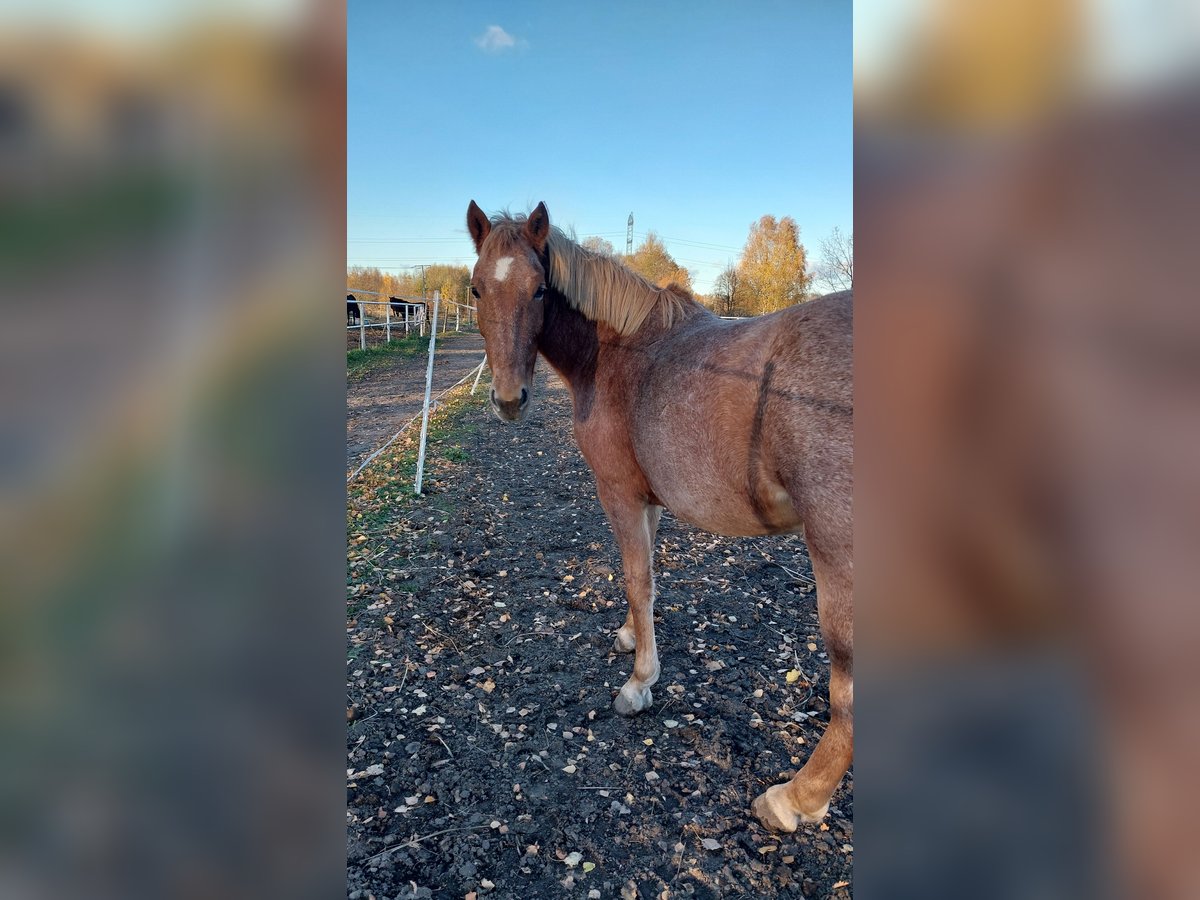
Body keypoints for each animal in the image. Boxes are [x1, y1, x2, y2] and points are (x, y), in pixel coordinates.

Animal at [463, 200, 849, 835]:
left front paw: (640, 683)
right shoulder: (648, 501)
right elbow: (645, 580)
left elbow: (636, 579)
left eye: (539, 289)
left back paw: (794, 798)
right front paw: (630, 638)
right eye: (475, 288)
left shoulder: (618, 492)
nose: (509, 400)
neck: (618, 352)